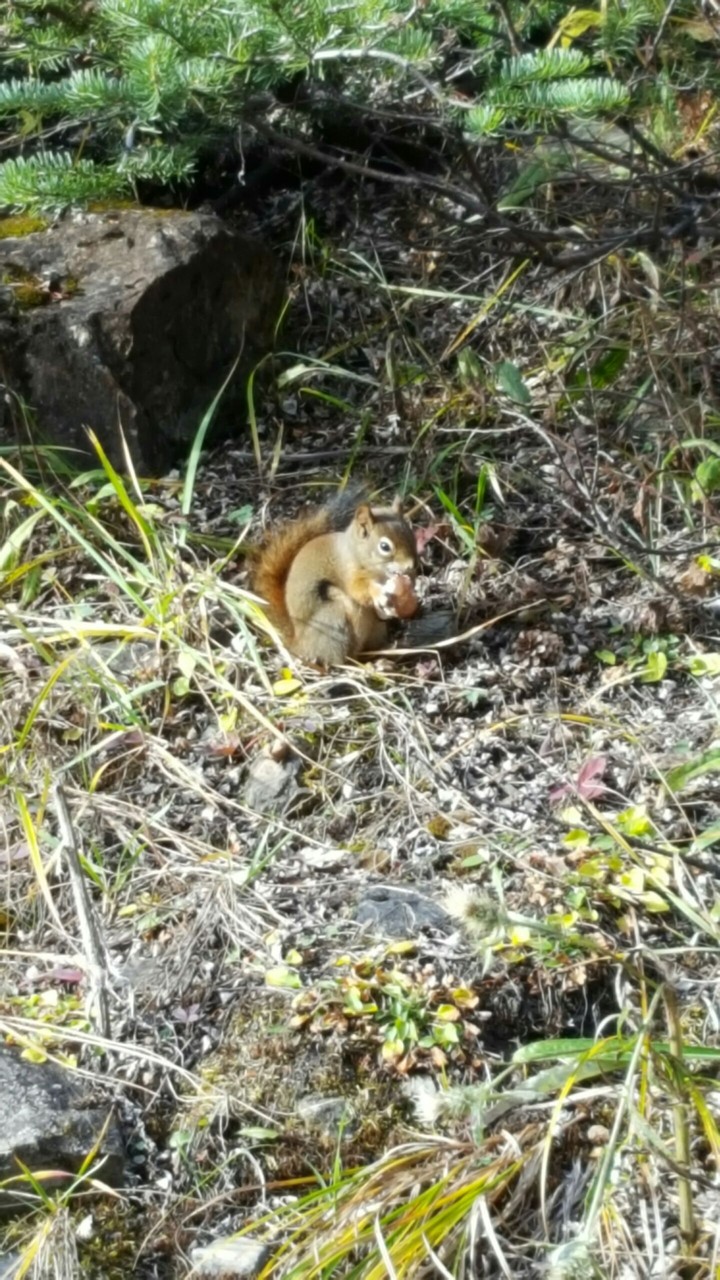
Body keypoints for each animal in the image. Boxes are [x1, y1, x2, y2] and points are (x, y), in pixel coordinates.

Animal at [252, 490, 419, 666]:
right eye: (385, 547)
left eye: (412, 535)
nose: (412, 565)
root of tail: (299, 644)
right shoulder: (347, 570)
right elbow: (358, 590)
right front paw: (378, 592)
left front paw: (409, 586)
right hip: (333, 621)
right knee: (339, 658)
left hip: (375, 628)